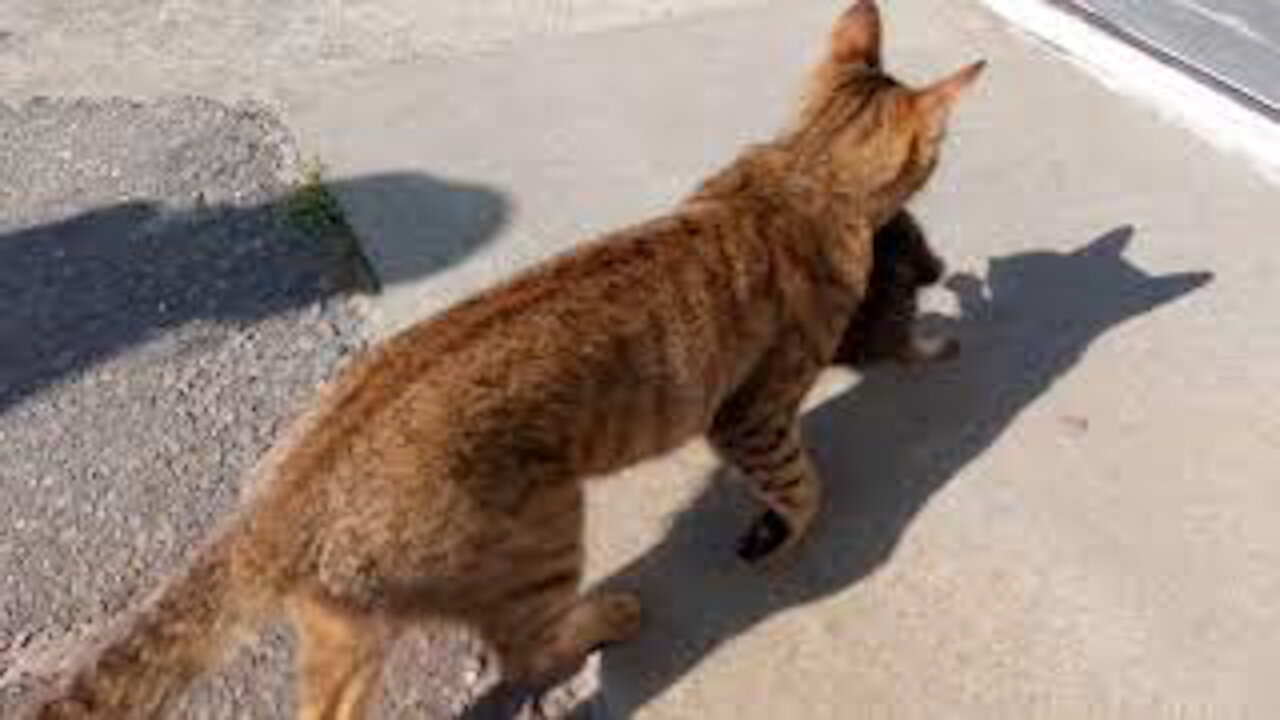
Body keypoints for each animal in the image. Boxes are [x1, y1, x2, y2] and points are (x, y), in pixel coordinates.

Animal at [35, 2, 983, 712]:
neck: (800, 172)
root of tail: (274, 508)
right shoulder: (752, 415)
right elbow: (800, 482)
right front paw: (788, 535)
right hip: (544, 531)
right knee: (526, 649)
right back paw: (609, 615)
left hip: (348, 628)